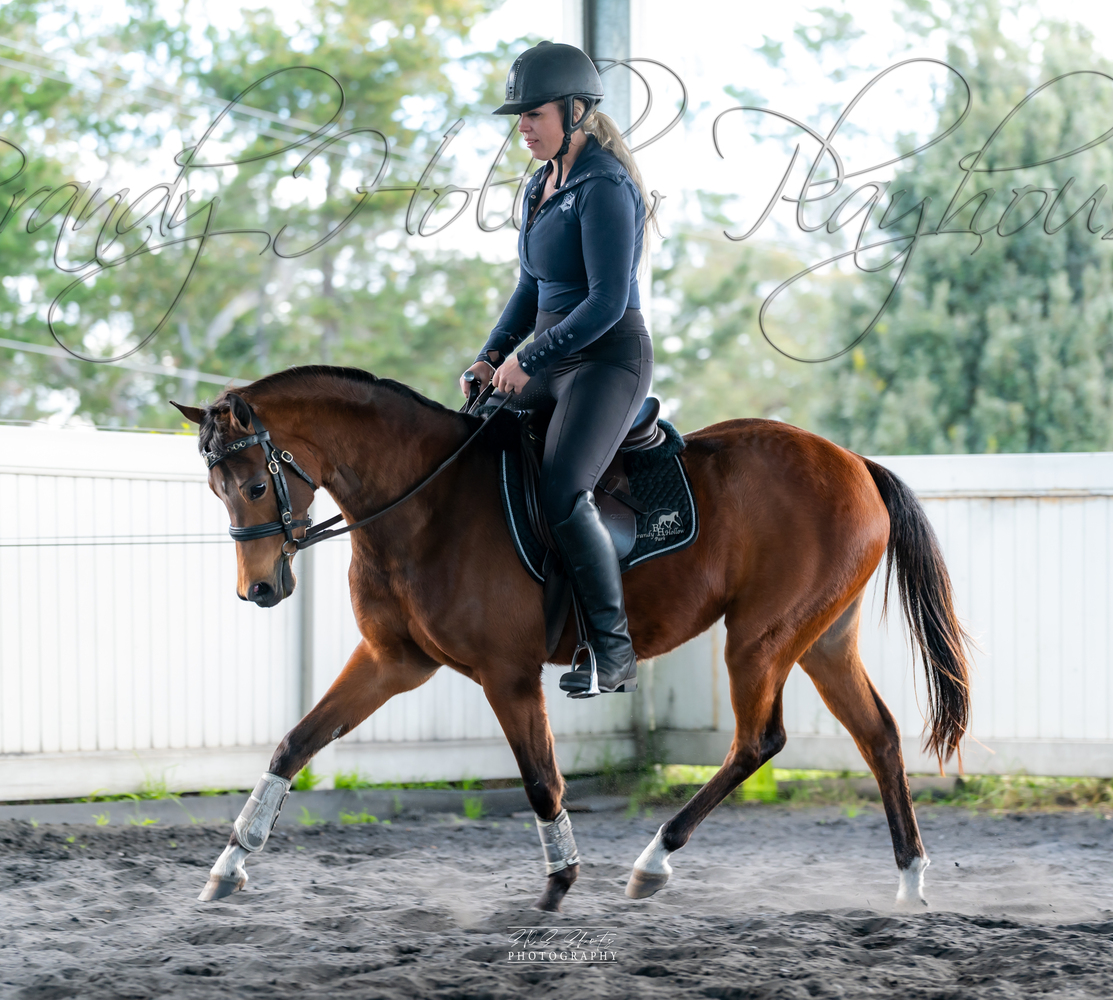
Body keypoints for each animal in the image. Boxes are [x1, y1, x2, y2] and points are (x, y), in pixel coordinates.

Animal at [171, 364, 970, 912]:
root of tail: (853, 463)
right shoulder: (393, 661)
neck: (427, 502)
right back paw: (909, 881)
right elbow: (295, 743)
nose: (259, 590)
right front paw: (229, 865)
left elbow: (540, 777)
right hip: (823, 639)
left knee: (758, 742)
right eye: (215, 489)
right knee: (878, 735)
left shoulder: (507, 673)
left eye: (253, 486)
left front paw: (560, 879)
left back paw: (653, 861)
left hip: (761, 638)